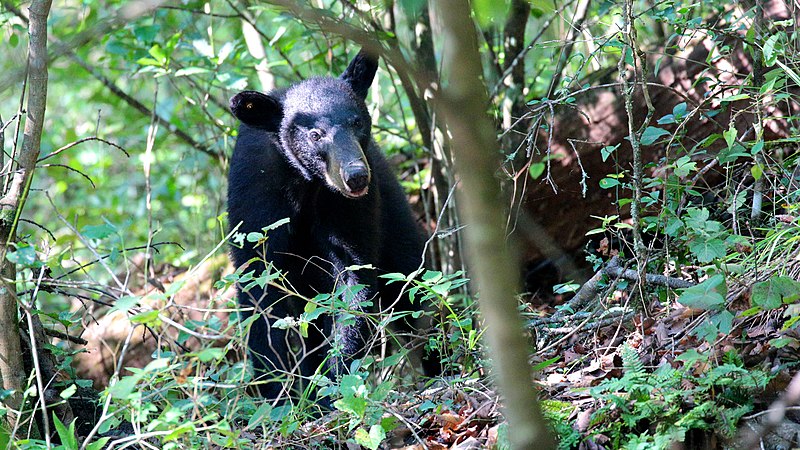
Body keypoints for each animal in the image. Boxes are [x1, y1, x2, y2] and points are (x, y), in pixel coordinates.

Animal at [225, 50, 438, 400]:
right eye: (315, 135)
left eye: (357, 122)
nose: (356, 176)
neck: (305, 182)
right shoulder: (256, 193)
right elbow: (260, 288)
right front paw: (276, 392)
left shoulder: (346, 207)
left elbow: (353, 276)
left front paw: (336, 381)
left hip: (393, 213)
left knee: (412, 287)